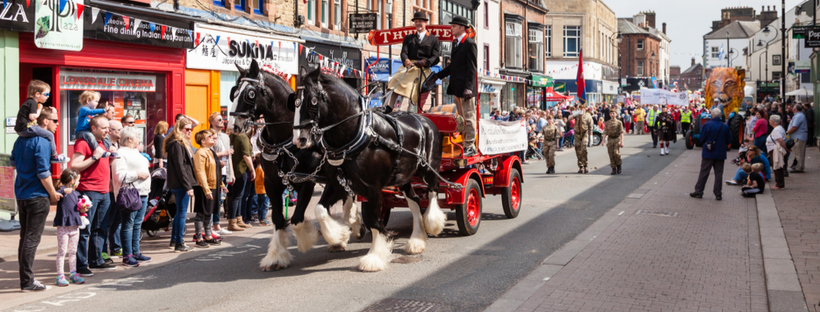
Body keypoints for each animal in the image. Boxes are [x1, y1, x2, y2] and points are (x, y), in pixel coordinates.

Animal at [229, 60, 360, 270]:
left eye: (250, 93)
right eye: (233, 92)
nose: (232, 125)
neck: (285, 142)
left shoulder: (307, 181)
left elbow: (298, 219)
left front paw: (313, 236)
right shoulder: (272, 182)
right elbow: (277, 218)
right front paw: (276, 257)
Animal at [292, 69, 448, 272]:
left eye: (312, 100)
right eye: (294, 101)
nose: (299, 139)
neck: (356, 135)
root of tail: (424, 118)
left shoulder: (373, 187)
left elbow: (374, 221)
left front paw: (374, 257)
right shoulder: (337, 183)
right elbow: (319, 209)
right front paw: (339, 235)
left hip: (429, 170)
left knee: (432, 192)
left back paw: (433, 223)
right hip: (404, 177)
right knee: (414, 201)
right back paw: (416, 241)